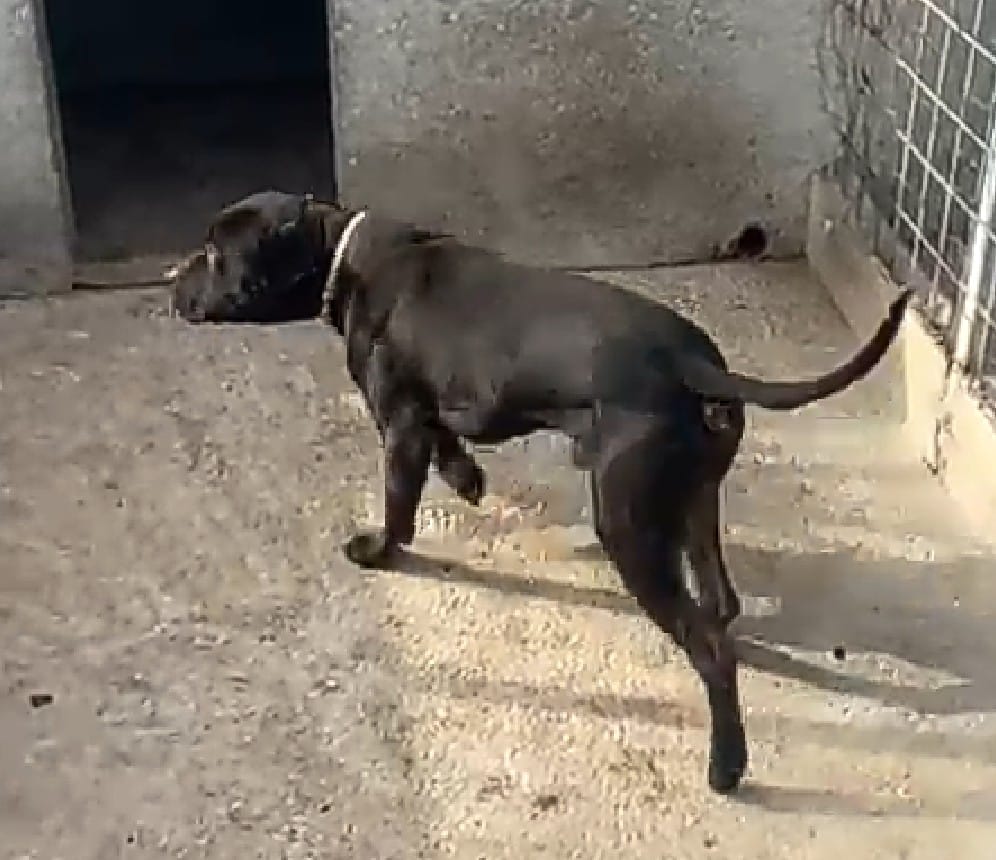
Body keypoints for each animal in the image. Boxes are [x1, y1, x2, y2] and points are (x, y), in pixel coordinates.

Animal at [171, 190, 913, 794]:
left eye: (214, 252)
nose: (171, 277)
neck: (342, 255)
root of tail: (694, 363)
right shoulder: (428, 415)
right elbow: (447, 447)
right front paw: (467, 480)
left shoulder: (399, 421)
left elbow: (399, 500)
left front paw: (380, 549)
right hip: (696, 497)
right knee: (719, 602)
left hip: (628, 521)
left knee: (709, 648)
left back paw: (726, 767)